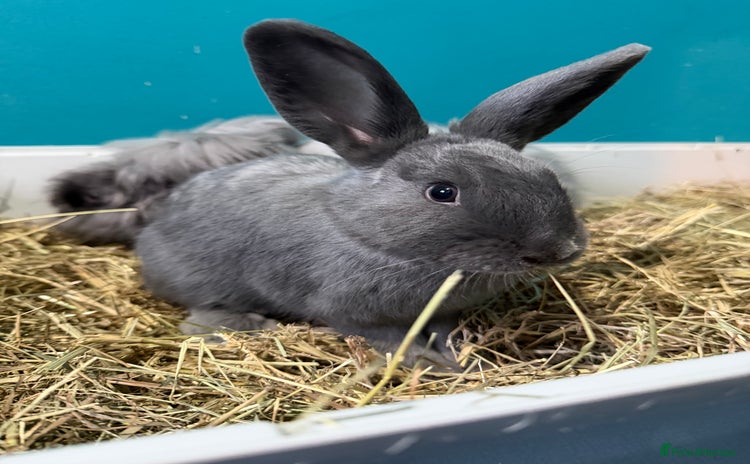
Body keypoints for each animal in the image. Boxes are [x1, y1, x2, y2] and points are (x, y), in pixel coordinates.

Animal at [135, 19, 650, 370]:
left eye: (545, 174)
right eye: (442, 192)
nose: (561, 249)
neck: (369, 235)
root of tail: (150, 230)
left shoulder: (439, 311)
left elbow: (443, 330)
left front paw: (457, 355)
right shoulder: (348, 313)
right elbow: (386, 340)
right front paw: (430, 365)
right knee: (196, 320)